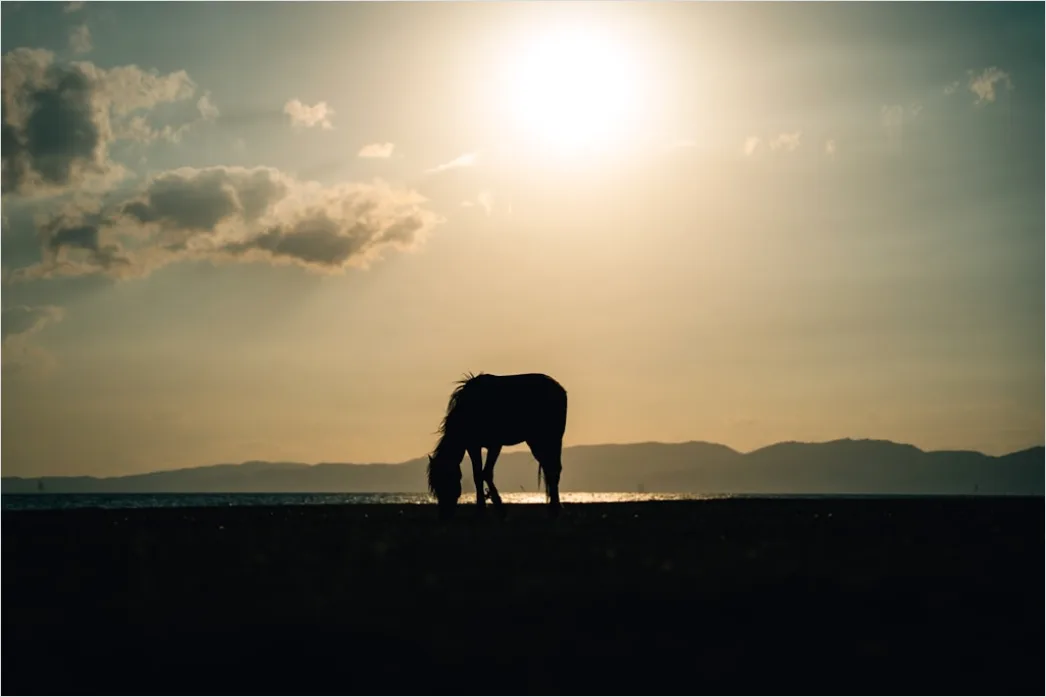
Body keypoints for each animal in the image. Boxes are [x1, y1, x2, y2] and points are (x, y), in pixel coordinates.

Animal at [426, 372, 568, 520]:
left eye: (447, 480)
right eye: (436, 485)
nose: (444, 515)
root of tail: (559, 388)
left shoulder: (495, 445)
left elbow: (487, 473)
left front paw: (499, 508)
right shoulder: (473, 446)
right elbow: (477, 475)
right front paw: (481, 510)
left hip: (551, 439)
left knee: (554, 469)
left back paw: (555, 510)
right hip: (537, 441)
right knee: (549, 468)